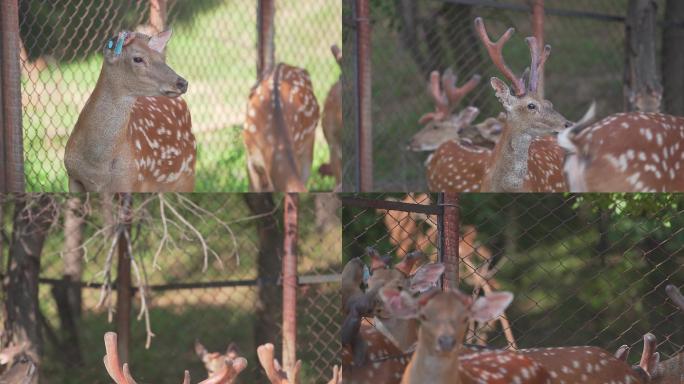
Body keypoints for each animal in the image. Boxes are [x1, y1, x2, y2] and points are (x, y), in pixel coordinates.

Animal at [65, 30, 195, 192]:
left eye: (161, 58)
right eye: (138, 58)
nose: (182, 83)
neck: (96, 165)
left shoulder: (130, 181)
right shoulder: (73, 177)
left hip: (187, 174)